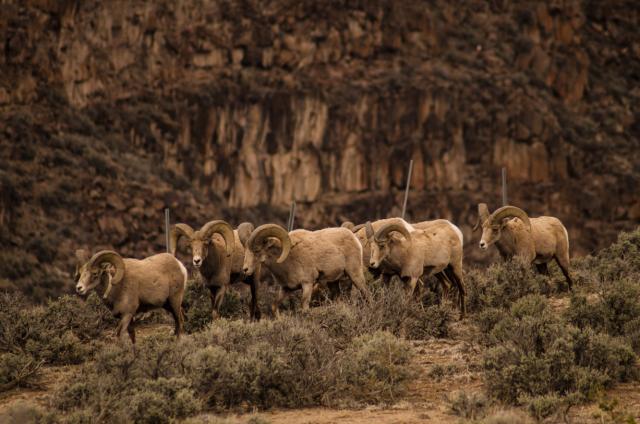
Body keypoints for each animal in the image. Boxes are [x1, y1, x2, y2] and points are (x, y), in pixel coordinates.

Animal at [240, 224, 370, 316]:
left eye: (257, 250)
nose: (245, 270)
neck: (288, 261)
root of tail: (354, 238)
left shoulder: (307, 284)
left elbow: (304, 307)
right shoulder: (286, 289)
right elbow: (274, 306)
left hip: (355, 275)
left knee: (366, 294)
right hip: (333, 282)